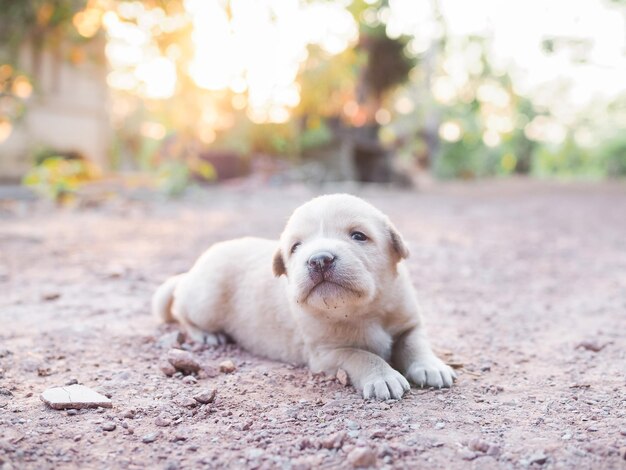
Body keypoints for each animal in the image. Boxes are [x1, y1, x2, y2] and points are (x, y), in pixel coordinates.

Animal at [151, 193, 454, 398]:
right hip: (206, 300)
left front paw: (431, 366)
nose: (319, 259)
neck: (363, 310)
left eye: (359, 236)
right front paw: (383, 376)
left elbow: (415, 343)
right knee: (182, 310)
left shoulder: (409, 322)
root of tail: (191, 272)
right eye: (296, 247)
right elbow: (360, 355)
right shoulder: (326, 353)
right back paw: (206, 335)